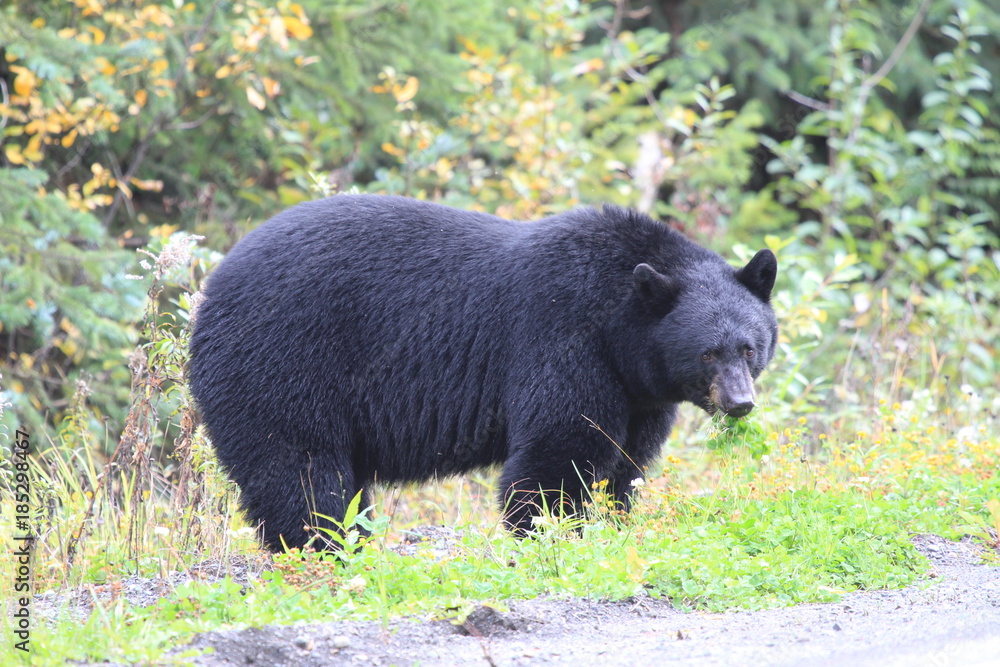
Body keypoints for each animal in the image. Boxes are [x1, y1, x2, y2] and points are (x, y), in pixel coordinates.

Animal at [189, 194, 778, 551]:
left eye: (750, 348)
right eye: (708, 353)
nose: (740, 402)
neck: (619, 322)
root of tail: (211, 287)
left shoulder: (640, 392)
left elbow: (627, 459)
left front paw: (615, 520)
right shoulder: (564, 338)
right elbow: (560, 446)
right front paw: (547, 531)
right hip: (284, 363)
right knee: (299, 467)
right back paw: (324, 547)